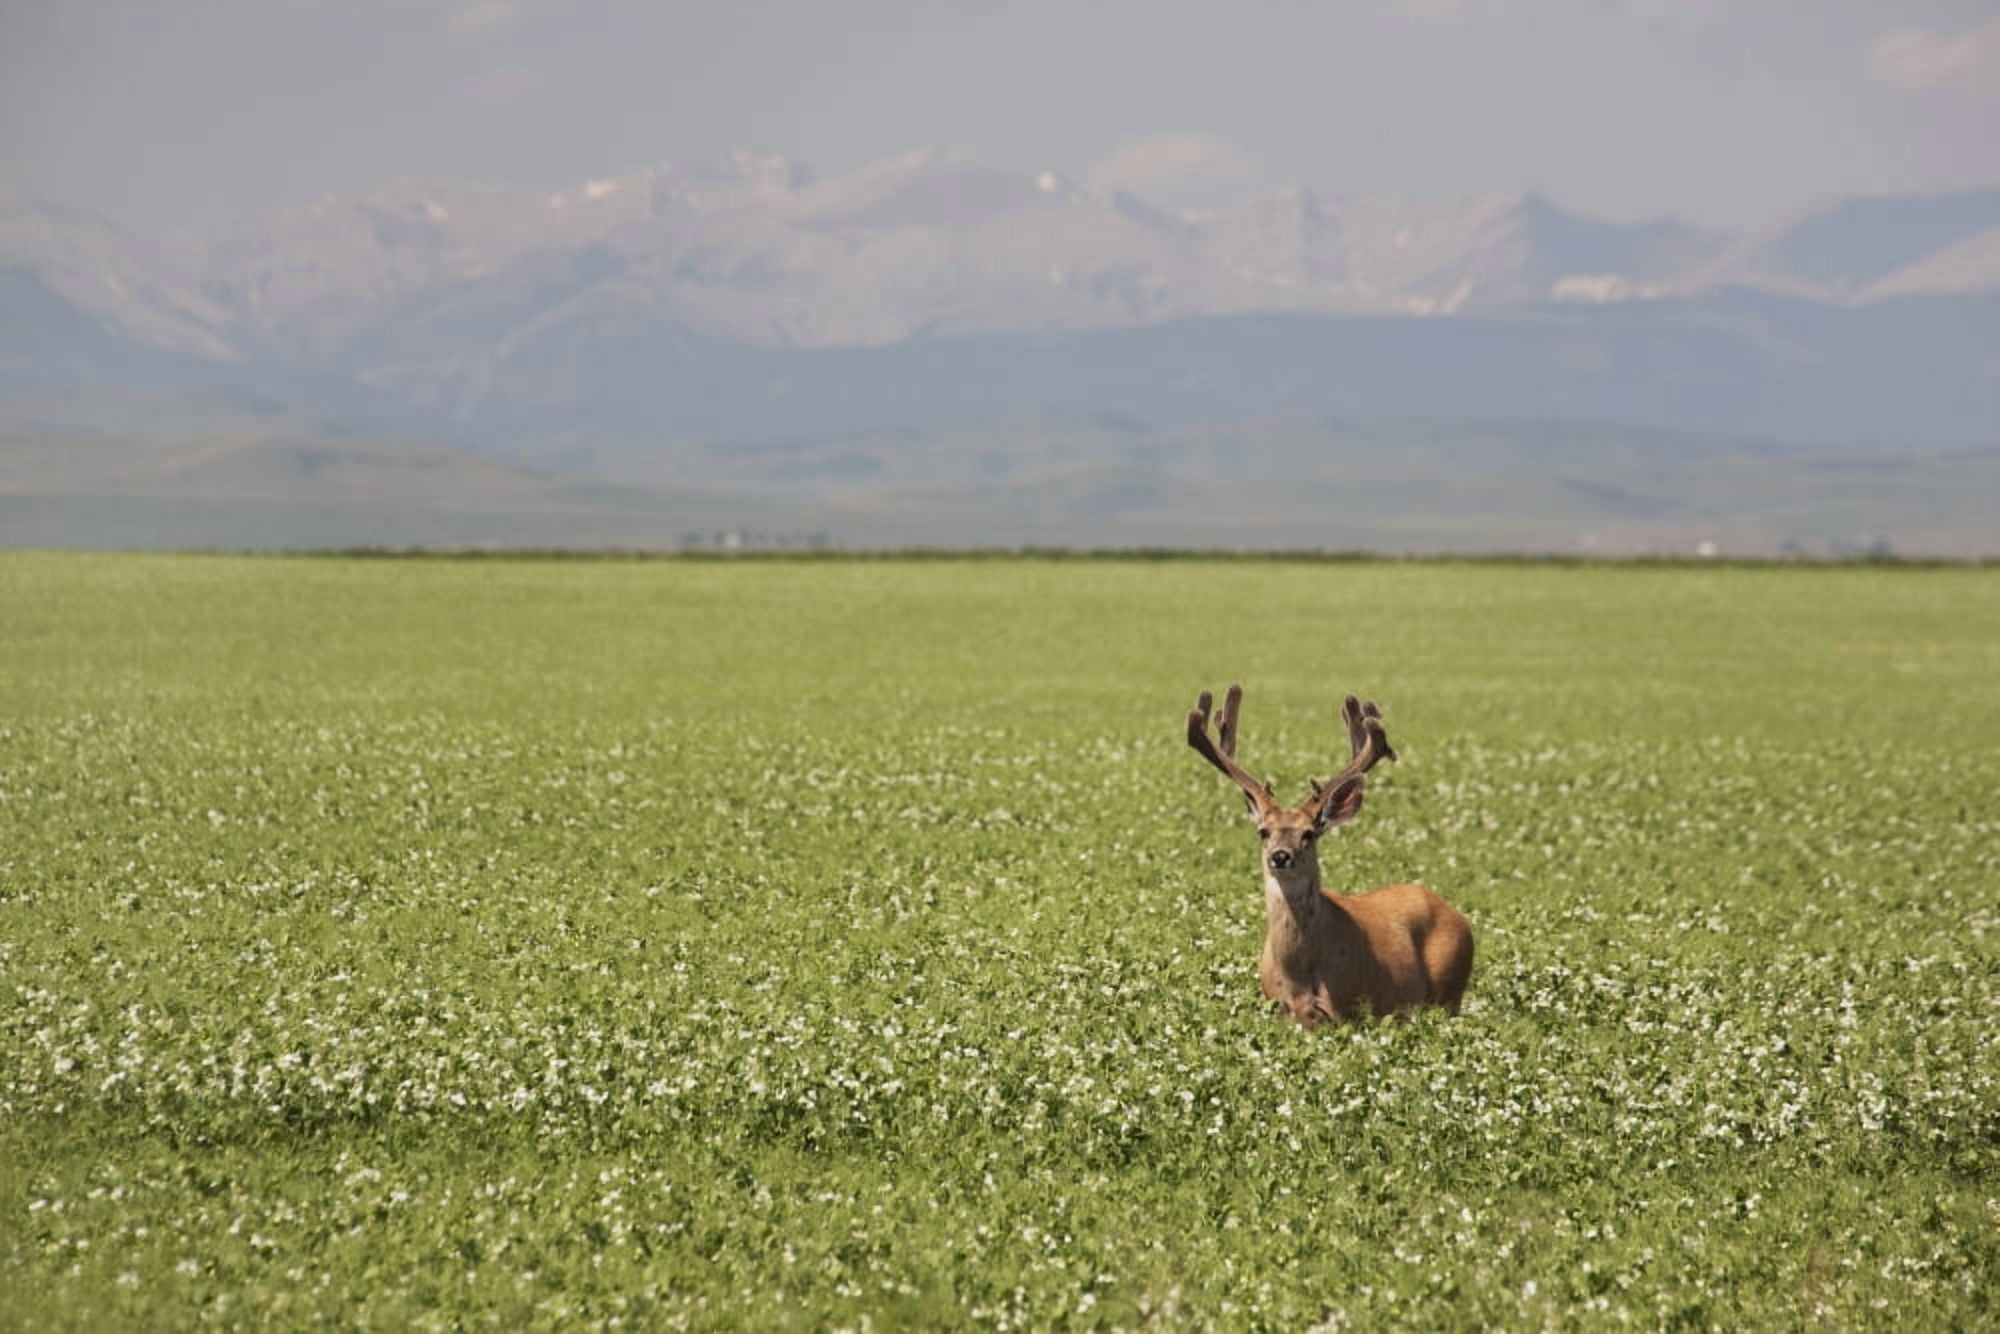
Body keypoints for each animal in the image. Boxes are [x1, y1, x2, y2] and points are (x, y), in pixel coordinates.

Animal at [1187, 684, 1473, 1025]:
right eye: (1264, 832)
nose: (1280, 856)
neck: (1298, 981)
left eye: (1309, 833)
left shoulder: (1347, 1009)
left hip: (1450, 992)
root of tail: (1458, 915)